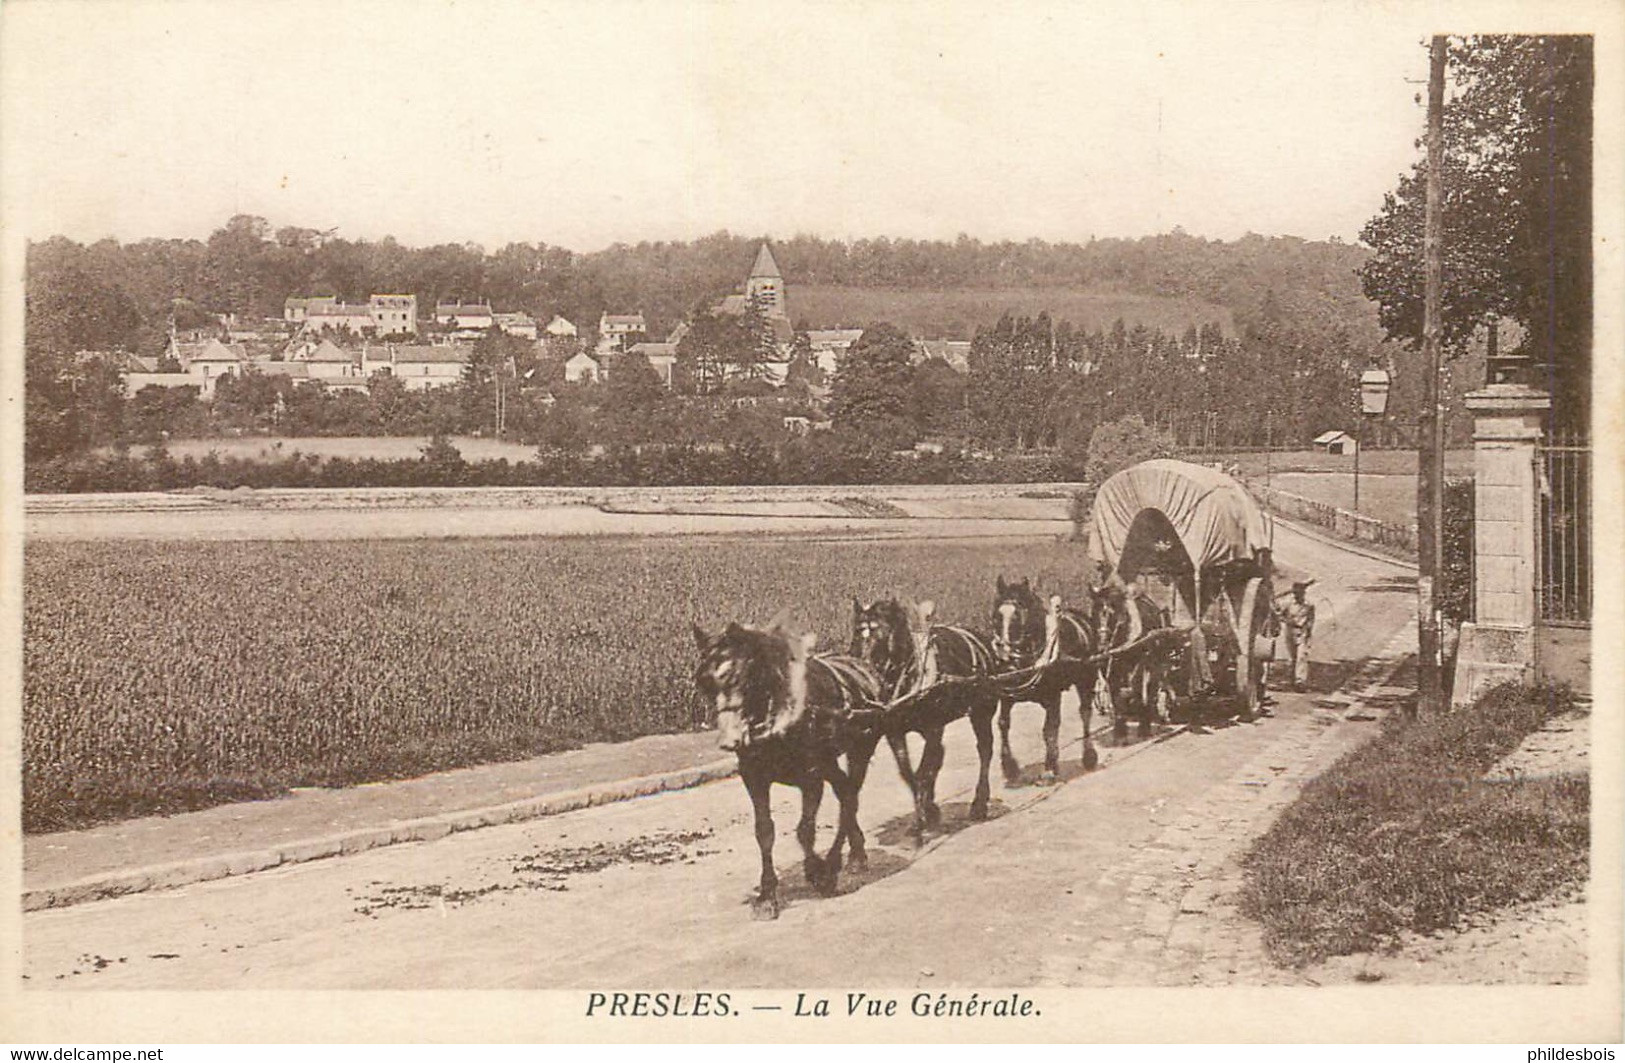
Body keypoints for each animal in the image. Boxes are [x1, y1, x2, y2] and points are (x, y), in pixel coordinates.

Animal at [692, 620, 884, 923]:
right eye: (705, 682)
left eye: (741, 677)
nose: (729, 740)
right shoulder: (754, 777)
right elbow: (764, 832)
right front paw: (767, 895)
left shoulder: (812, 775)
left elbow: (805, 831)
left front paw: (818, 872)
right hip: (831, 762)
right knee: (845, 793)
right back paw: (855, 852)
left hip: (859, 750)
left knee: (850, 796)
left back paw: (837, 862)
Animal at [851, 604, 1001, 838]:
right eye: (858, 632)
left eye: (882, 634)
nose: (863, 669)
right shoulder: (895, 732)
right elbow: (909, 773)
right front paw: (927, 812)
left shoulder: (934, 728)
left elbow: (922, 772)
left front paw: (920, 819)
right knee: (939, 755)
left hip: (981, 712)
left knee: (984, 749)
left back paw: (979, 804)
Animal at [981, 581, 1098, 783]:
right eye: (996, 616)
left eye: (1018, 617)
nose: (1004, 657)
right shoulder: (1007, 697)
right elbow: (1003, 724)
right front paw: (1009, 767)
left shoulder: (1053, 696)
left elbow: (1049, 729)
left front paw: (1050, 767)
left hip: (1086, 679)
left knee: (1085, 712)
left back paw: (1089, 755)